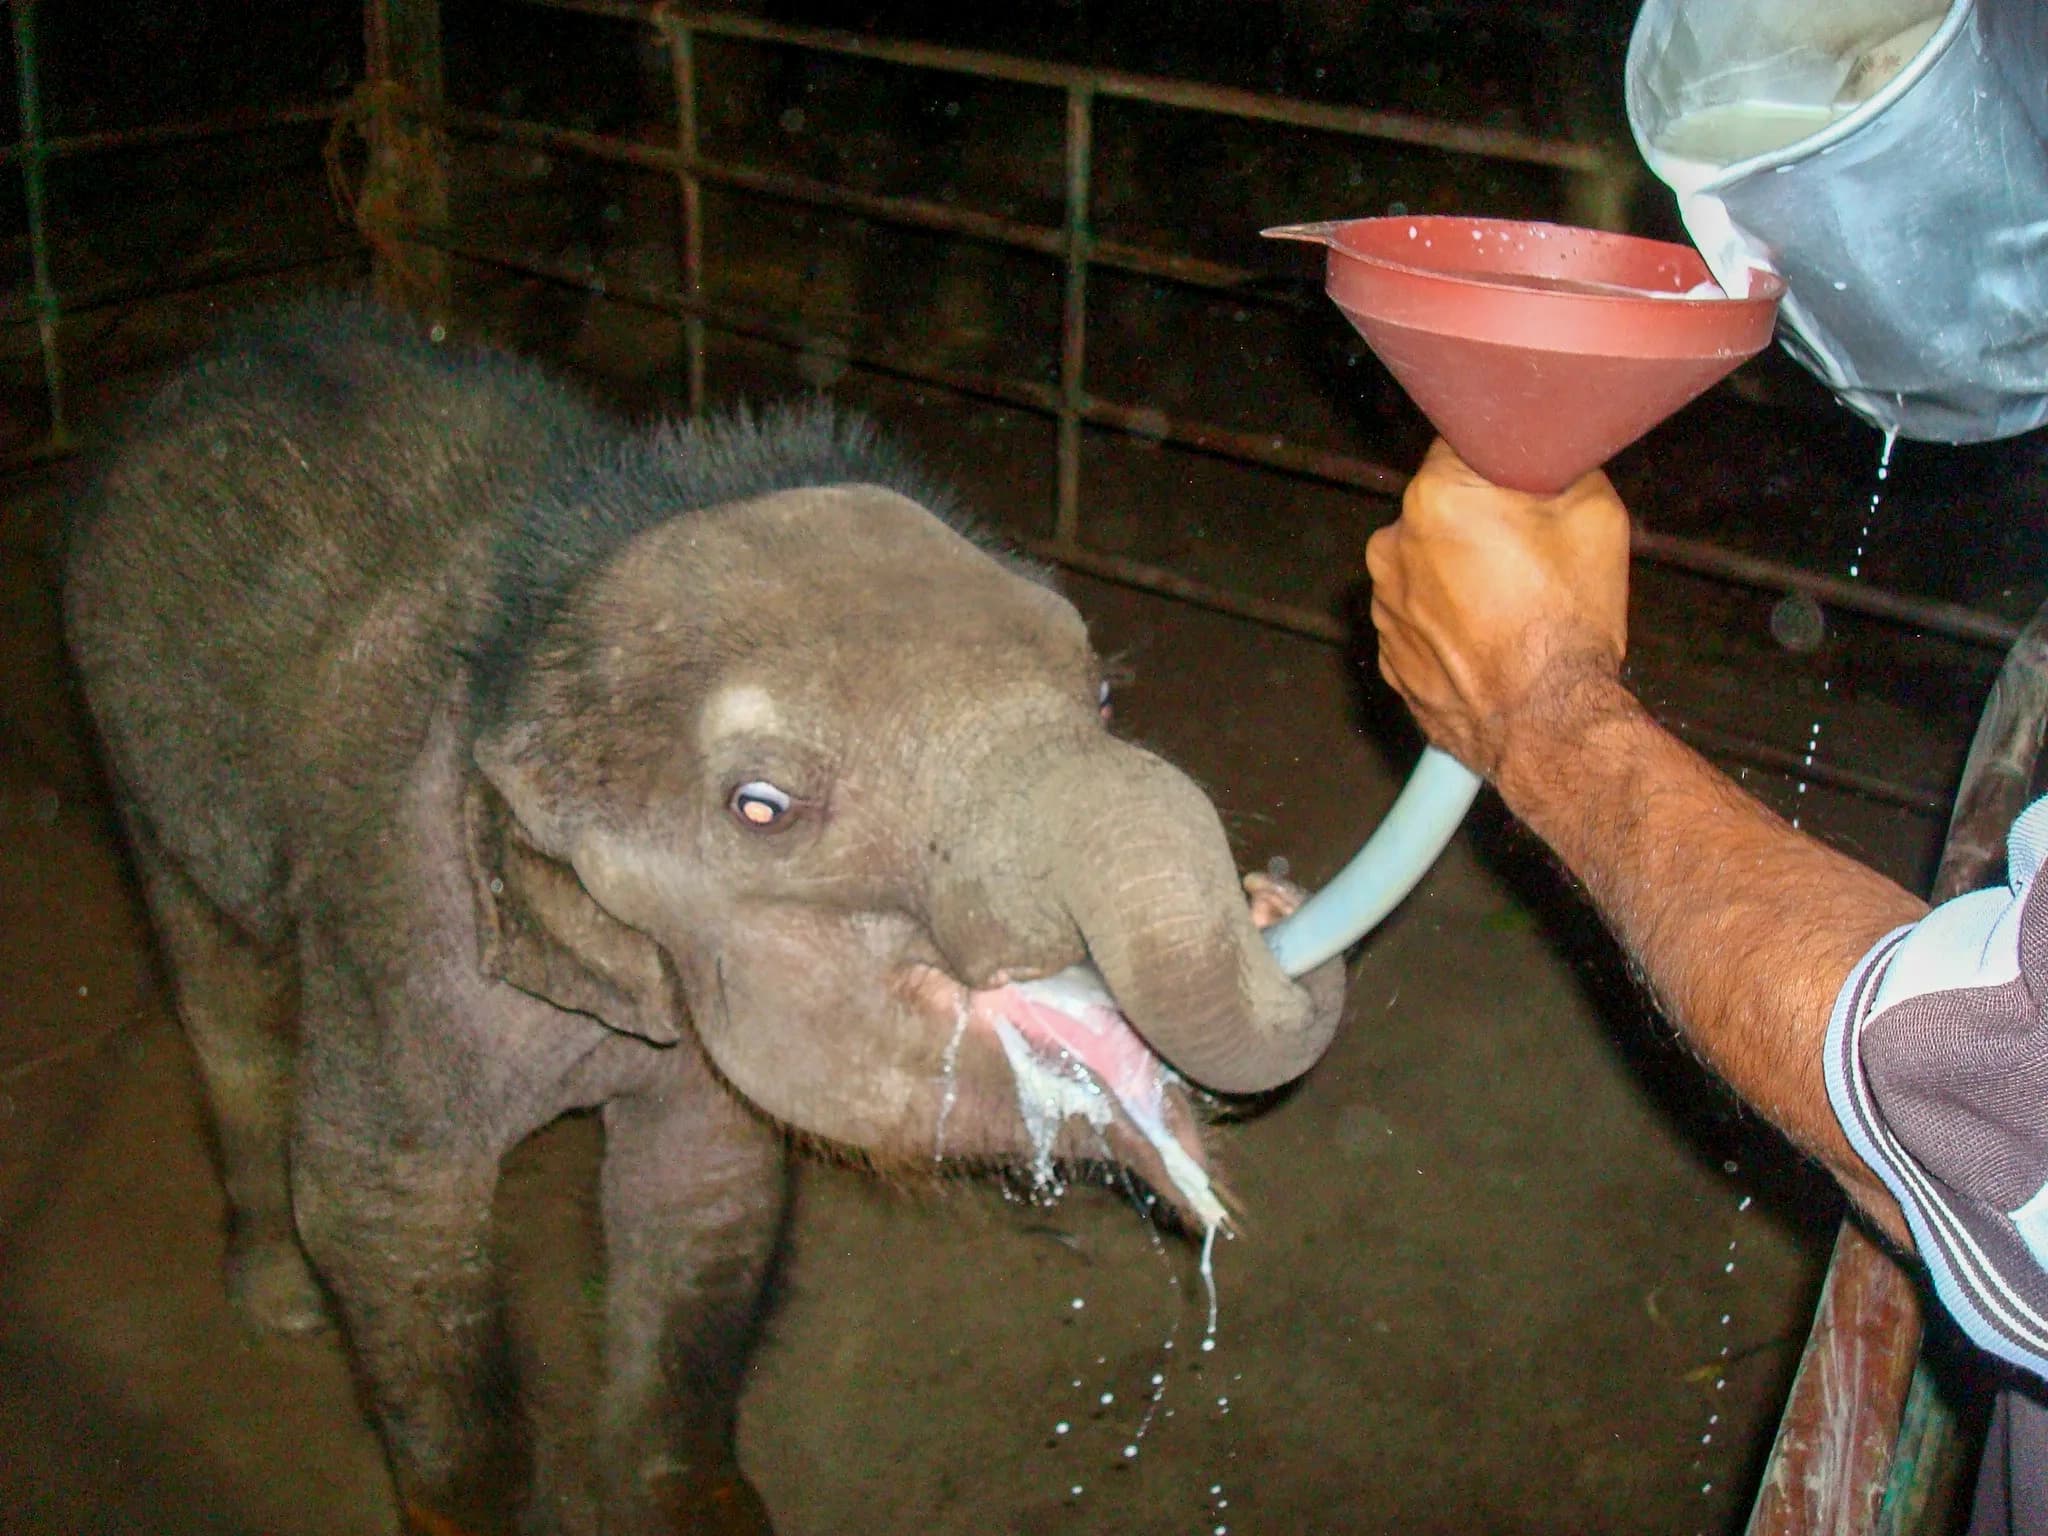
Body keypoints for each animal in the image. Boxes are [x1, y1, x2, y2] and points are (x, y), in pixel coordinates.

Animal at [62, 295, 1346, 1535]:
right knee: (221, 1005)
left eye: (1105, 696)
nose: (1274, 887)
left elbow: (698, 1201)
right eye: (762, 808)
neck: (528, 631)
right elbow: (378, 1214)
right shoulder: (396, 927)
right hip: (133, 760)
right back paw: (278, 1300)